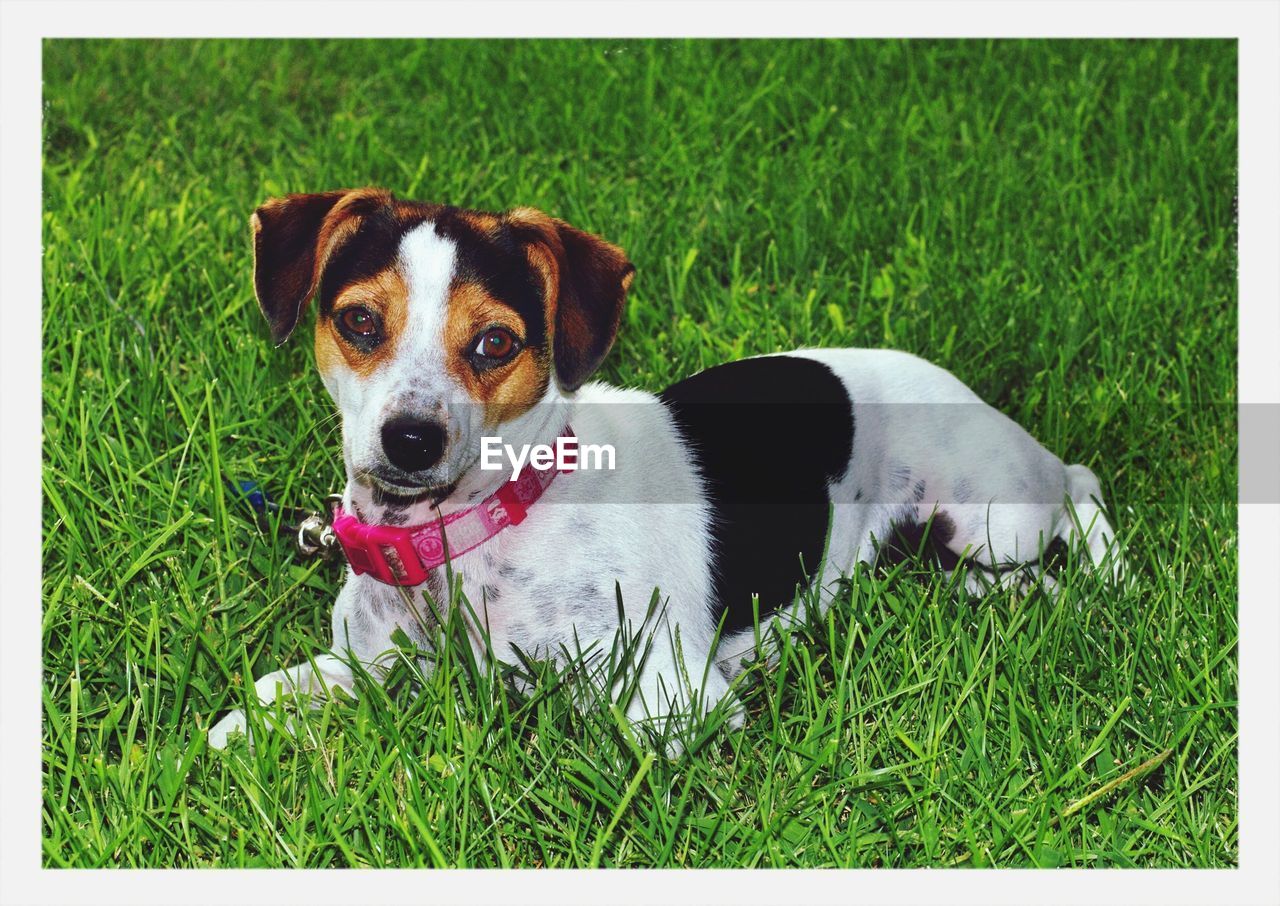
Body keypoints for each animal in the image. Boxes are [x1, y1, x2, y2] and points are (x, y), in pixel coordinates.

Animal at [202, 189, 1121, 752]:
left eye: (495, 342)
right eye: (360, 321)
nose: (411, 441)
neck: (472, 536)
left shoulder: (670, 702)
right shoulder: (365, 661)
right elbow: (278, 697)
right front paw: (252, 726)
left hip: (996, 518)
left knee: (1078, 490)